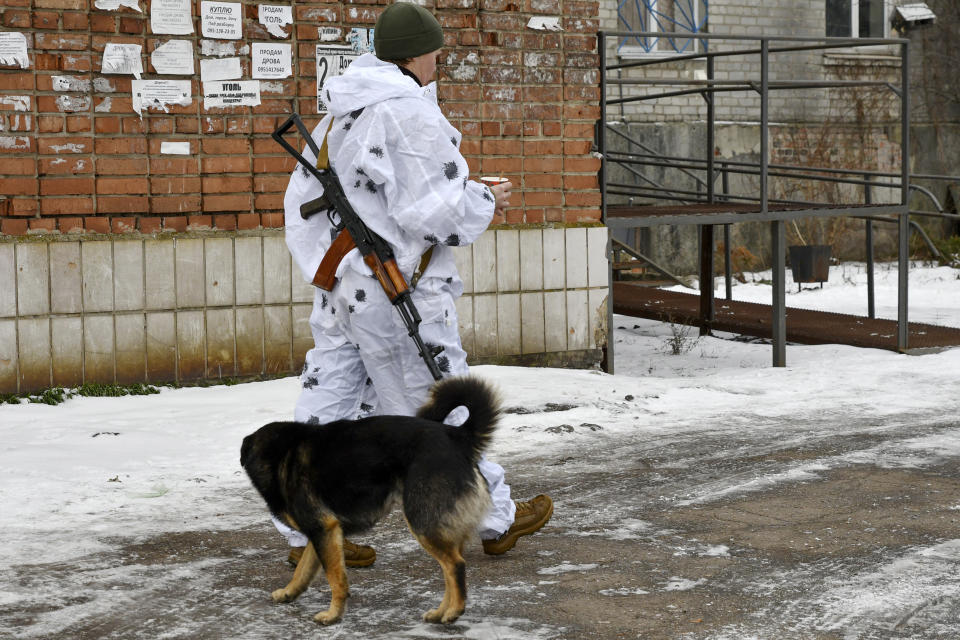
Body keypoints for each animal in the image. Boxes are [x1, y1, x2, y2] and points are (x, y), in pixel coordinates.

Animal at [239, 376, 498, 624]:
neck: (283, 456)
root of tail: (457, 436)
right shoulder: (322, 533)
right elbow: (302, 570)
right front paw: (289, 592)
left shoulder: (323, 529)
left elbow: (335, 577)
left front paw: (333, 615)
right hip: (438, 527)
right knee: (449, 569)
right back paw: (440, 612)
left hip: (422, 523)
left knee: (456, 565)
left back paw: (454, 611)